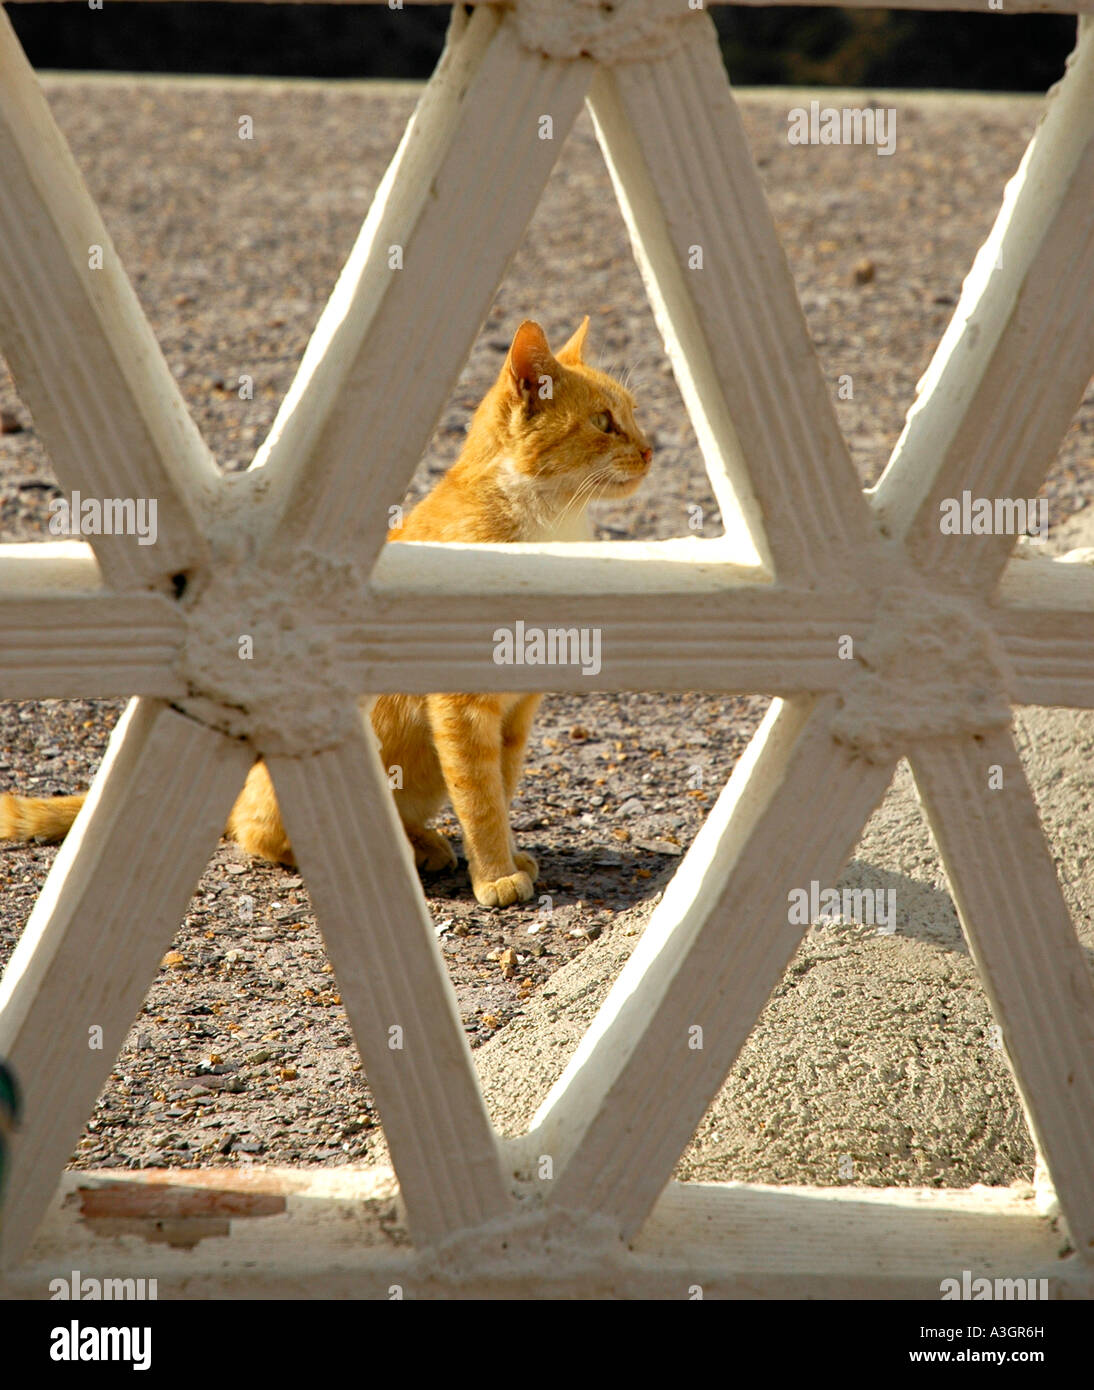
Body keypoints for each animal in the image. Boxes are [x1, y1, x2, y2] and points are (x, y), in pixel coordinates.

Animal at [0, 322, 650, 911]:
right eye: (603, 422)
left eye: (634, 413)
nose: (649, 450)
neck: (546, 527)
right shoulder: (462, 709)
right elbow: (481, 797)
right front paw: (495, 873)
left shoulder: (516, 715)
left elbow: (504, 788)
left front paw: (507, 857)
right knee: (257, 833)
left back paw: (422, 841)